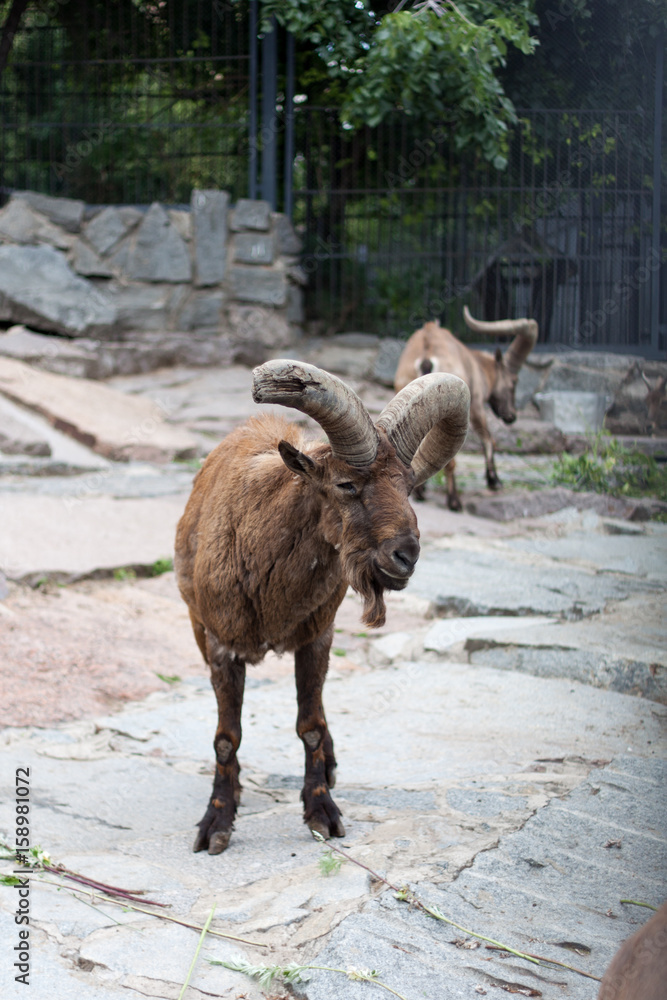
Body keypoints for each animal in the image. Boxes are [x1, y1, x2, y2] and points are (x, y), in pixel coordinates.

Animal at [175, 360, 470, 854]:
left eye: (408, 486)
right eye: (345, 484)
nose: (405, 556)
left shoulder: (315, 638)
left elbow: (309, 725)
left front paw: (322, 812)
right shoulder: (219, 643)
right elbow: (226, 738)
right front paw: (216, 823)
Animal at [394, 306, 537, 510]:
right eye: (513, 382)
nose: (511, 416)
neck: (478, 366)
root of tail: (426, 357)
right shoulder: (475, 404)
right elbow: (488, 438)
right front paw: (494, 480)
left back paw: (422, 492)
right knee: (450, 459)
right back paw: (454, 500)